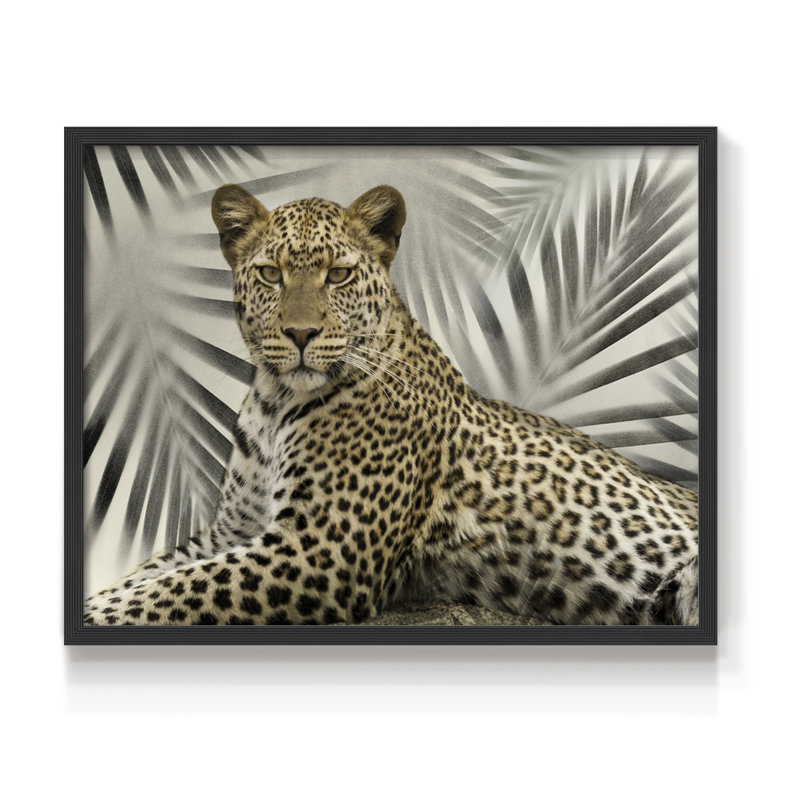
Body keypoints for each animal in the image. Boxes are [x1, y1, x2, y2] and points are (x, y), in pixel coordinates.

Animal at [83, 183, 699, 627]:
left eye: (338, 274)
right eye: (270, 273)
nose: (301, 334)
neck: (276, 402)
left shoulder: (320, 550)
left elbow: (167, 592)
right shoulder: (231, 532)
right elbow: (148, 576)